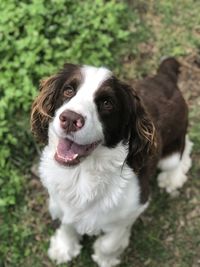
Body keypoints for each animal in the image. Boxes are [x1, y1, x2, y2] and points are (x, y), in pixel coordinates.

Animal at [30, 58, 192, 267]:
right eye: (68, 90)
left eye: (107, 103)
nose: (70, 119)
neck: (81, 174)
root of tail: (165, 76)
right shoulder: (59, 201)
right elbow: (66, 223)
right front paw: (63, 248)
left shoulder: (134, 207)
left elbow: (110, 242)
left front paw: (105, 258)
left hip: (170, 154)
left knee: (184, 148)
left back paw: (173, 179)